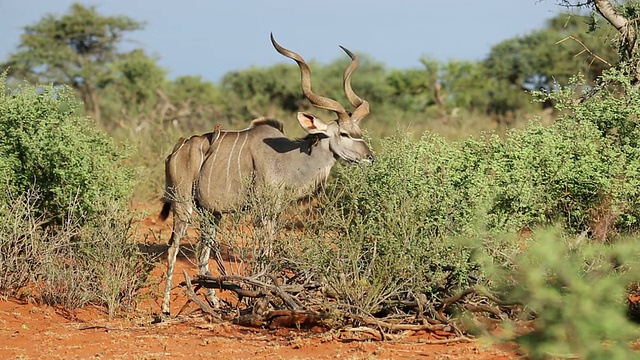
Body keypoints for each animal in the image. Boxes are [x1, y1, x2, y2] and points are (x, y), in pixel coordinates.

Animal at [157, 33, 372, 316]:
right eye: (345, 133)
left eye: (359, 132)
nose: (369, 157)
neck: (289, 158)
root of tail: (177, 149)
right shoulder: (263, 210)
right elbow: (265, 252)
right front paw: (263, 297)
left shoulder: (274, 210)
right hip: (183, 205)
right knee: (173, 247)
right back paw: (165, 309)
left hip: (211, 213)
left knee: (204, 251)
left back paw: (213, 303)